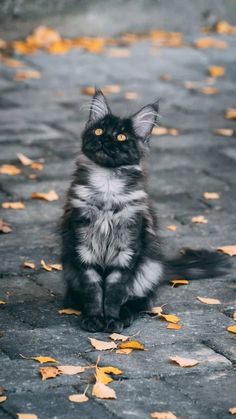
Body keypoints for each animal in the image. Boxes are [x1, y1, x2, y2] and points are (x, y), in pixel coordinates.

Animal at [60, 90, 229, 334]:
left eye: (121, 137)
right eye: (99, 131)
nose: (104, 139)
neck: (108, 187)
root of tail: (163, 267)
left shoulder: (127, 250)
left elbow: (114, 292)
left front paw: (111, 320)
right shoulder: (83, 248)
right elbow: (93, 291)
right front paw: (93, 318)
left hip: (147, 269)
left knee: (141, 300)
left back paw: (125, 315)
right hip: (70, 268)